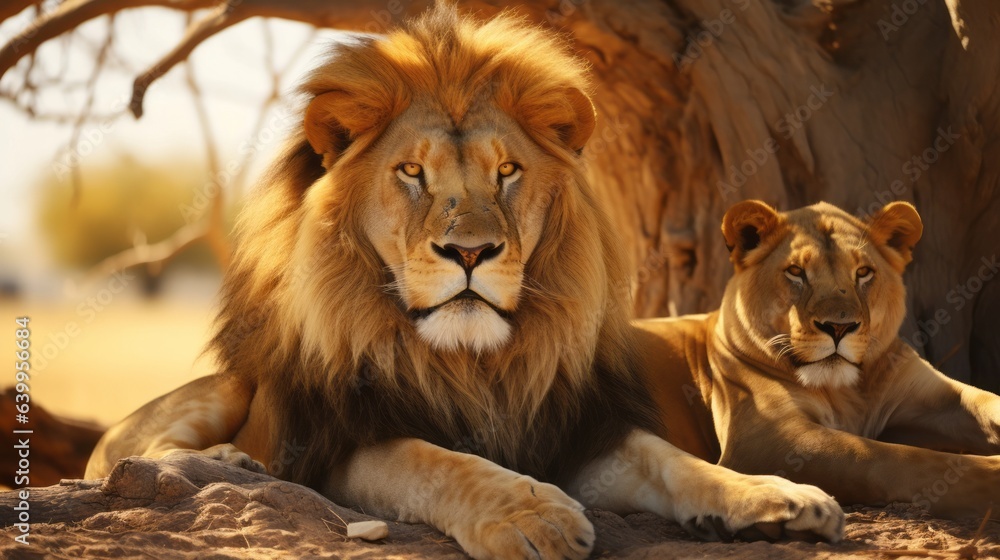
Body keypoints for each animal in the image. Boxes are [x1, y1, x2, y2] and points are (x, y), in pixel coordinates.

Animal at [85, 6, 845, 558]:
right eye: (411, 172)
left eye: (507, 171)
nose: (471, 252)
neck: (474, 365)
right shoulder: (343, 446)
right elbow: (438, 461)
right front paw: (530, 516)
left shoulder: (571, 430)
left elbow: (676, 462)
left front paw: (775, 496)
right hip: (223, 390)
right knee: (130, 457)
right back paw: (230, 462)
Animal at [637, 199, 1000, 522]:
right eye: (796, 272)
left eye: (863, 272)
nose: (838, 327)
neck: (847, 392)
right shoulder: (763, 436)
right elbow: (886, 456)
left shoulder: (938, 397)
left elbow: (987, 401)